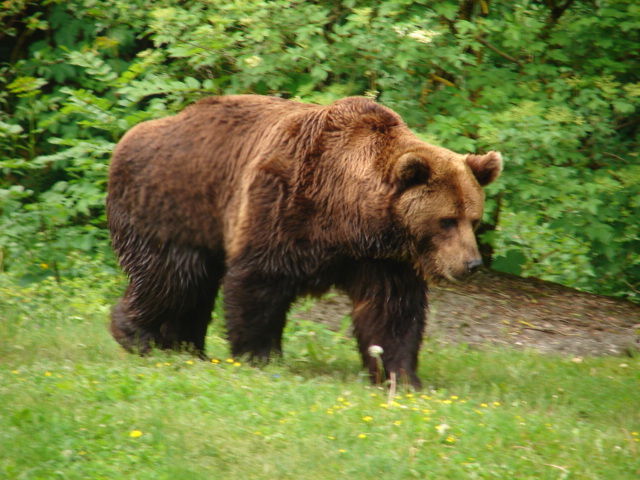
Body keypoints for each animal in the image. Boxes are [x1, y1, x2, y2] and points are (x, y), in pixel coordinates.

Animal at [107, 95, 502, 388]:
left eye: (474, 219)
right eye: (446, 221)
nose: (471, 264)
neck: (349, 217)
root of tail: (131, 134)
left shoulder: (381, 259)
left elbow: (392, 311)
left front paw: (401, 377)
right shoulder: (283, 203)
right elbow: (258, 283)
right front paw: (259, 355)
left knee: (191, 286)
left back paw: (185, 347)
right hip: (174, 202)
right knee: (172, 276)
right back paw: (135, 333)